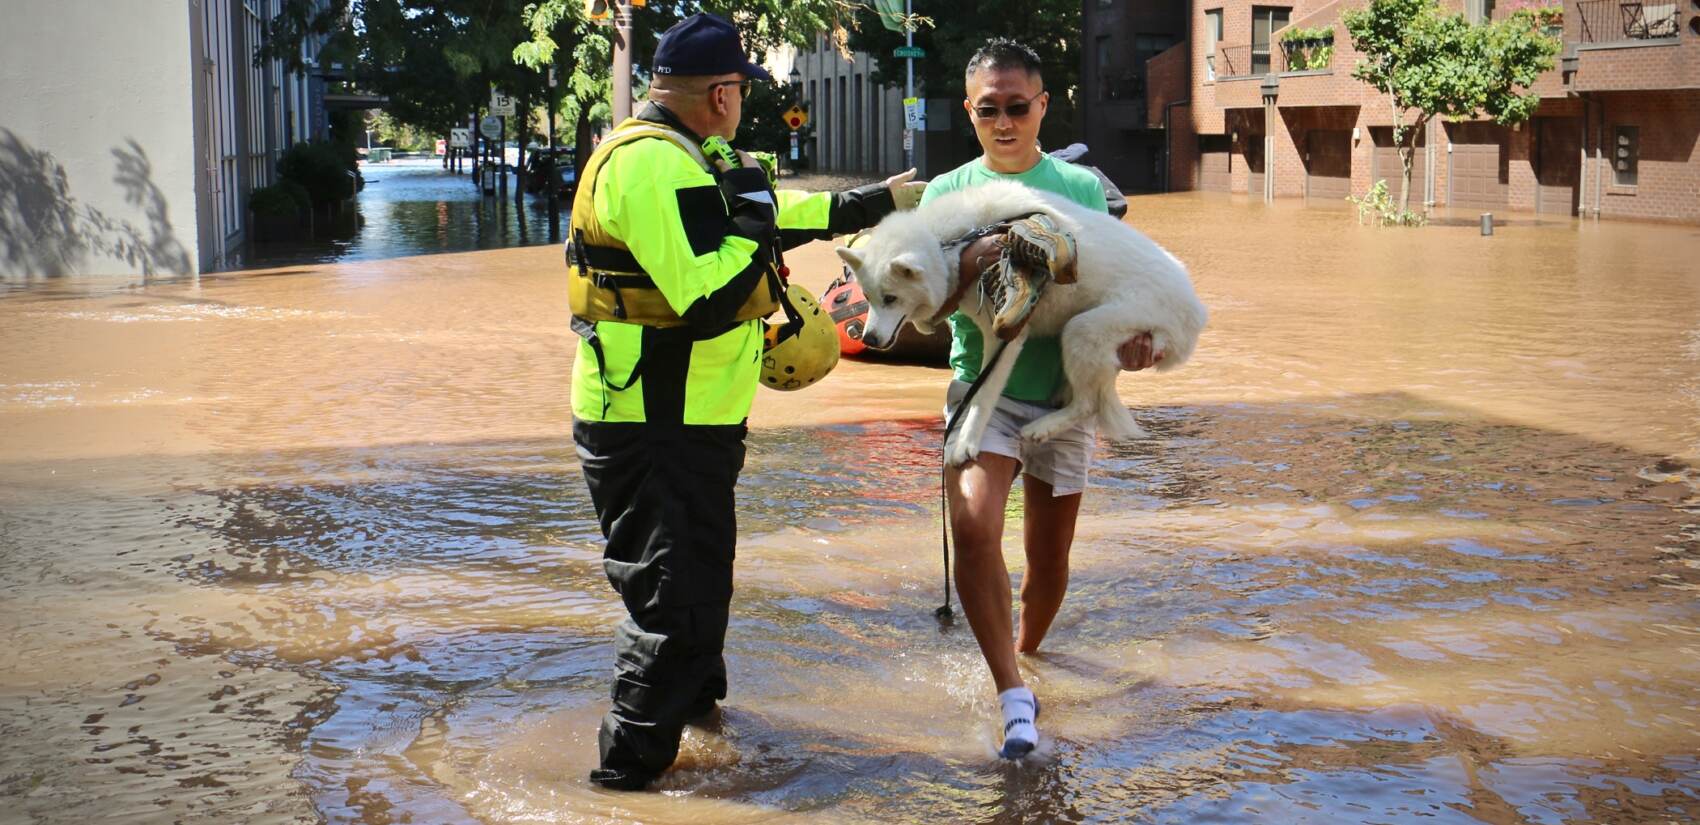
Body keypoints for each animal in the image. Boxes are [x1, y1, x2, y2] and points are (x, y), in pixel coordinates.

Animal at [836, 181, 1210, 466]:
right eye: (868, 297)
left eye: (891, 298)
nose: (869, 338)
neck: (956, 244)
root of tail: (1196, 311)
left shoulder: (1005, 336)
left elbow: (982, 396)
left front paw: (965, 445)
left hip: (1082, 330)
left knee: (1088, 405)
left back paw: (1041, 428)